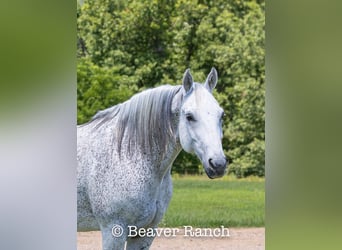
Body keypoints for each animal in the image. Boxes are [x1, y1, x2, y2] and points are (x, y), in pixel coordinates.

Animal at [77, 68, 227, 250]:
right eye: (189, 116)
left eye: (221, 115)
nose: (218, 164)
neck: (127, 155)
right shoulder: (113, 231)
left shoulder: (144, 233)